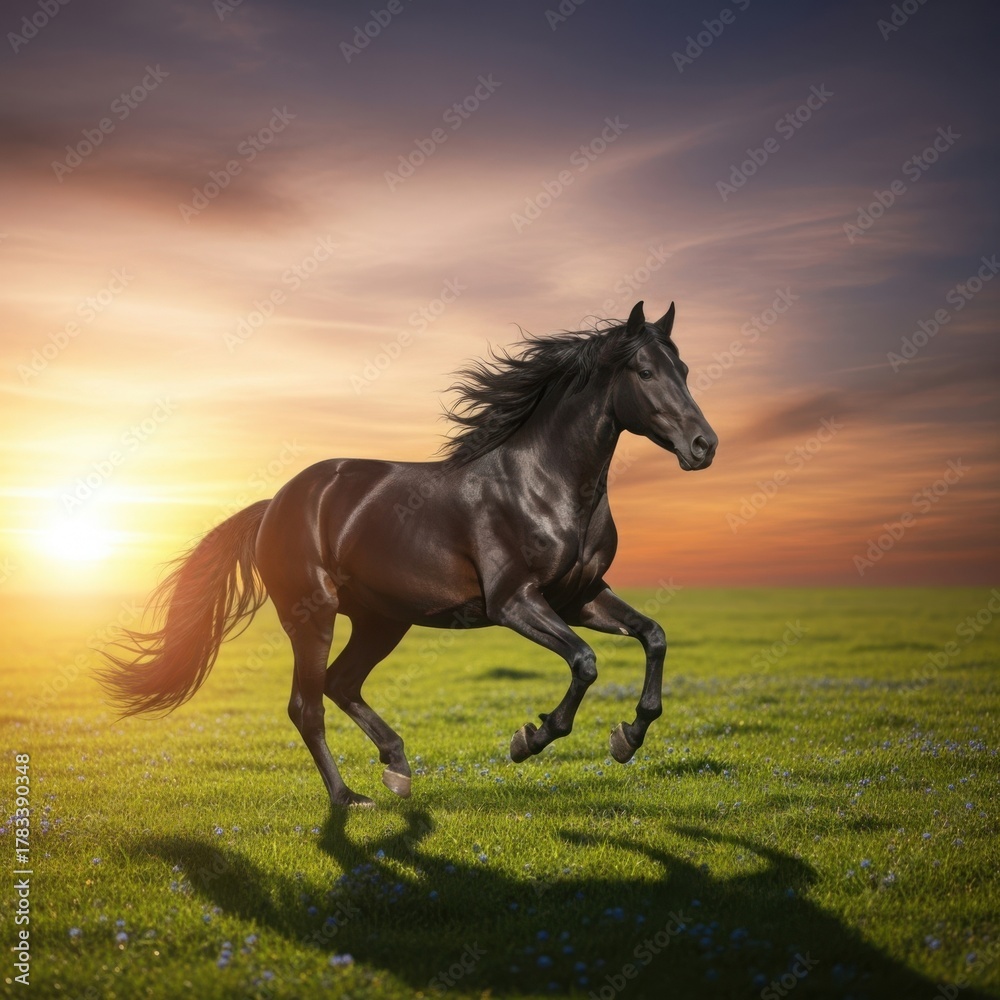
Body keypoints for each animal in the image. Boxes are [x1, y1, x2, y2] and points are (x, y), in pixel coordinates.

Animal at [99, 300, 717, 809]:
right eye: (645, 372)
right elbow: (585, 662)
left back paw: (396, 767)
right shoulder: (514, 602)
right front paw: (528, 739)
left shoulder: (580, 598)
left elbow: (654, 636)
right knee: (307, 704)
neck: (544, 484)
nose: (704, 446)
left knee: (341, 684)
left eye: (684, 371)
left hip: (382, 619)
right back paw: (349, 798)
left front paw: (627, 737)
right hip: (314, 616)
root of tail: (274, 503)